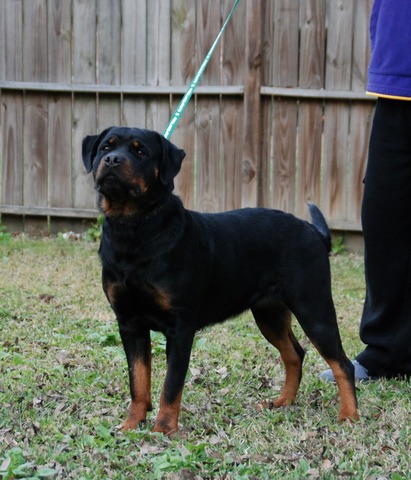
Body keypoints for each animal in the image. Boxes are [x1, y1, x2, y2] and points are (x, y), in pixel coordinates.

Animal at [82, 127, 358, 436]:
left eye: (140, 151)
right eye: (106, 147)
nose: (112, 160)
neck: (134, 227)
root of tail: (313, 231)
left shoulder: (180, 328)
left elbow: (171, 385)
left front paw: (163, 430)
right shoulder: (130, 323)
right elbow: (138, 380)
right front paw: (132, 423)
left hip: (314, 309)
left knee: (342, 364)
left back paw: (349, 416)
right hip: (269, 314)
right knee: (295, 354)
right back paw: (281, 402)